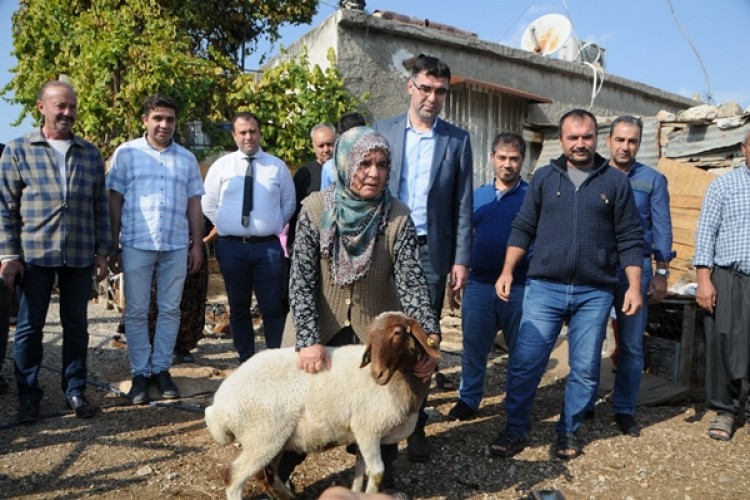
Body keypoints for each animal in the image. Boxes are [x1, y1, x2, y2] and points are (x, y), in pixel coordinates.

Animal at [206, 310, 440, 498]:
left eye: (398, 333)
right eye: (371, 335)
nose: (377, 374)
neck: (401, 380)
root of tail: (218, 408)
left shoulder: (362, 436)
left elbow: (360, 470)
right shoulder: (368, 430)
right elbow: (376, 472)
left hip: (274, 440)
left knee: (268, 476)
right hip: (261, 438)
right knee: (233, 477)